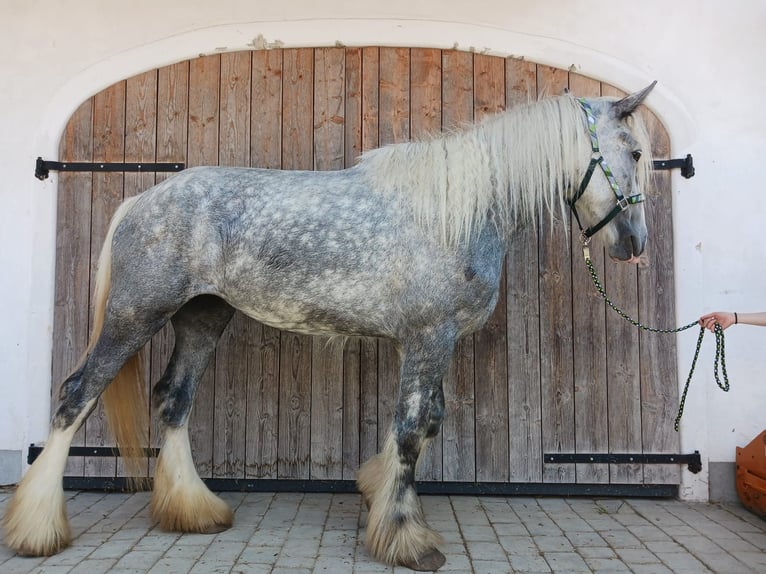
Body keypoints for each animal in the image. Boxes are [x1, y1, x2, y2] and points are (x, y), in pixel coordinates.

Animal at [3, 82, 656, 571]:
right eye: (633, 152)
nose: (634, 245)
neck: (454, 212)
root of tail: (142, 201)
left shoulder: (427, 345)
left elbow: (423, 426)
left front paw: (379, 498)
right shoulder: (428, 339)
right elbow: (411, 431)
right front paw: (406, 540)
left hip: (202, 319)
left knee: (173, 400)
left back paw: (194, 512)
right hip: (134, 316)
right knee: (76, 397)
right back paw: (37, 530)